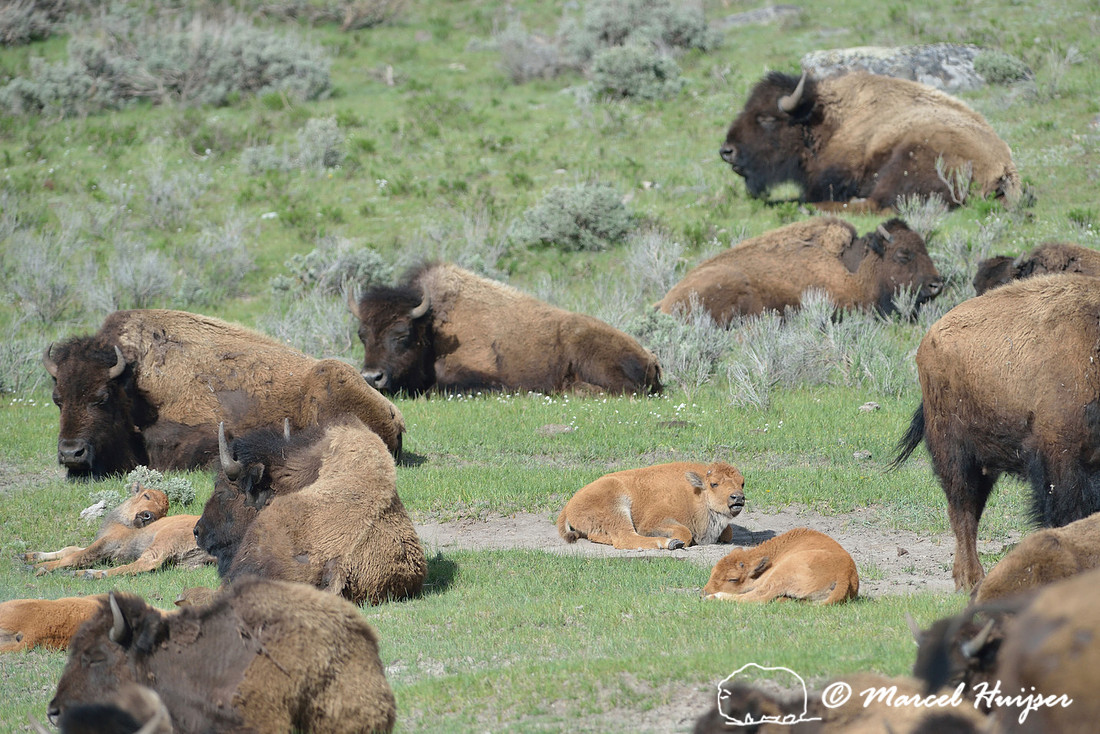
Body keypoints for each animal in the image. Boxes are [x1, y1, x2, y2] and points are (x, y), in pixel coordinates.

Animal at [26, 484, 212, 579]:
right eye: (146, 495)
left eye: (162, 511)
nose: (148, 515)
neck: (123, 522)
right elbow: (69, 549)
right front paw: (28, 556)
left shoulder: (106, 544)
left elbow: (76, 555)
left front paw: (38, 567)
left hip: (163, 539)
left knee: (146, 563)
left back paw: (91, 574)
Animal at [556, 461, 746, 550]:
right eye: (714, 484)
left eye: (742, 483)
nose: (738, 498)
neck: (695, 493)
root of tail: (570, 503)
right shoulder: (653, 522)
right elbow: (684, 532)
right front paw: (679, 541)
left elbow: (728, 533)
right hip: (618, 506)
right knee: (627, 537)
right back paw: (669, 543)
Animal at [703, 527, 858, 605]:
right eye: (713, 571)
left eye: (733, 579)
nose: (704, 592)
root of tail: (845, 573)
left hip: (782, 573)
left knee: (758, 597)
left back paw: (714, 597)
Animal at [719, 70, 1021, 211]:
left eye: (767, 119)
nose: (727, 151)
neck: (827, 120)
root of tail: (1004, 168)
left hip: (907, 160)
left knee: (877, 205)